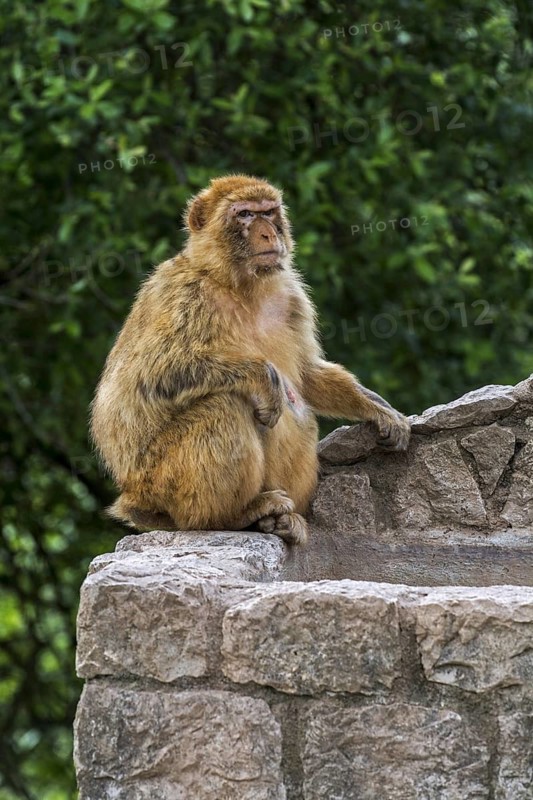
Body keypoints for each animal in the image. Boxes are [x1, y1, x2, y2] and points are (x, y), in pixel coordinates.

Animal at [90, 174, 410, 546]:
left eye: (268, 212)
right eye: (244, 214)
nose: (268, 233)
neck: (239, 284)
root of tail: (135, 497)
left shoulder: (291, 296)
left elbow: (307, 374)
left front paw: (375, 409)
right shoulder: (182, 294)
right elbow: (150, 375)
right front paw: (262, 377)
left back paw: (278, 521)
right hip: (160, 482)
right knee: (224, 406)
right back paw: (233, 515)